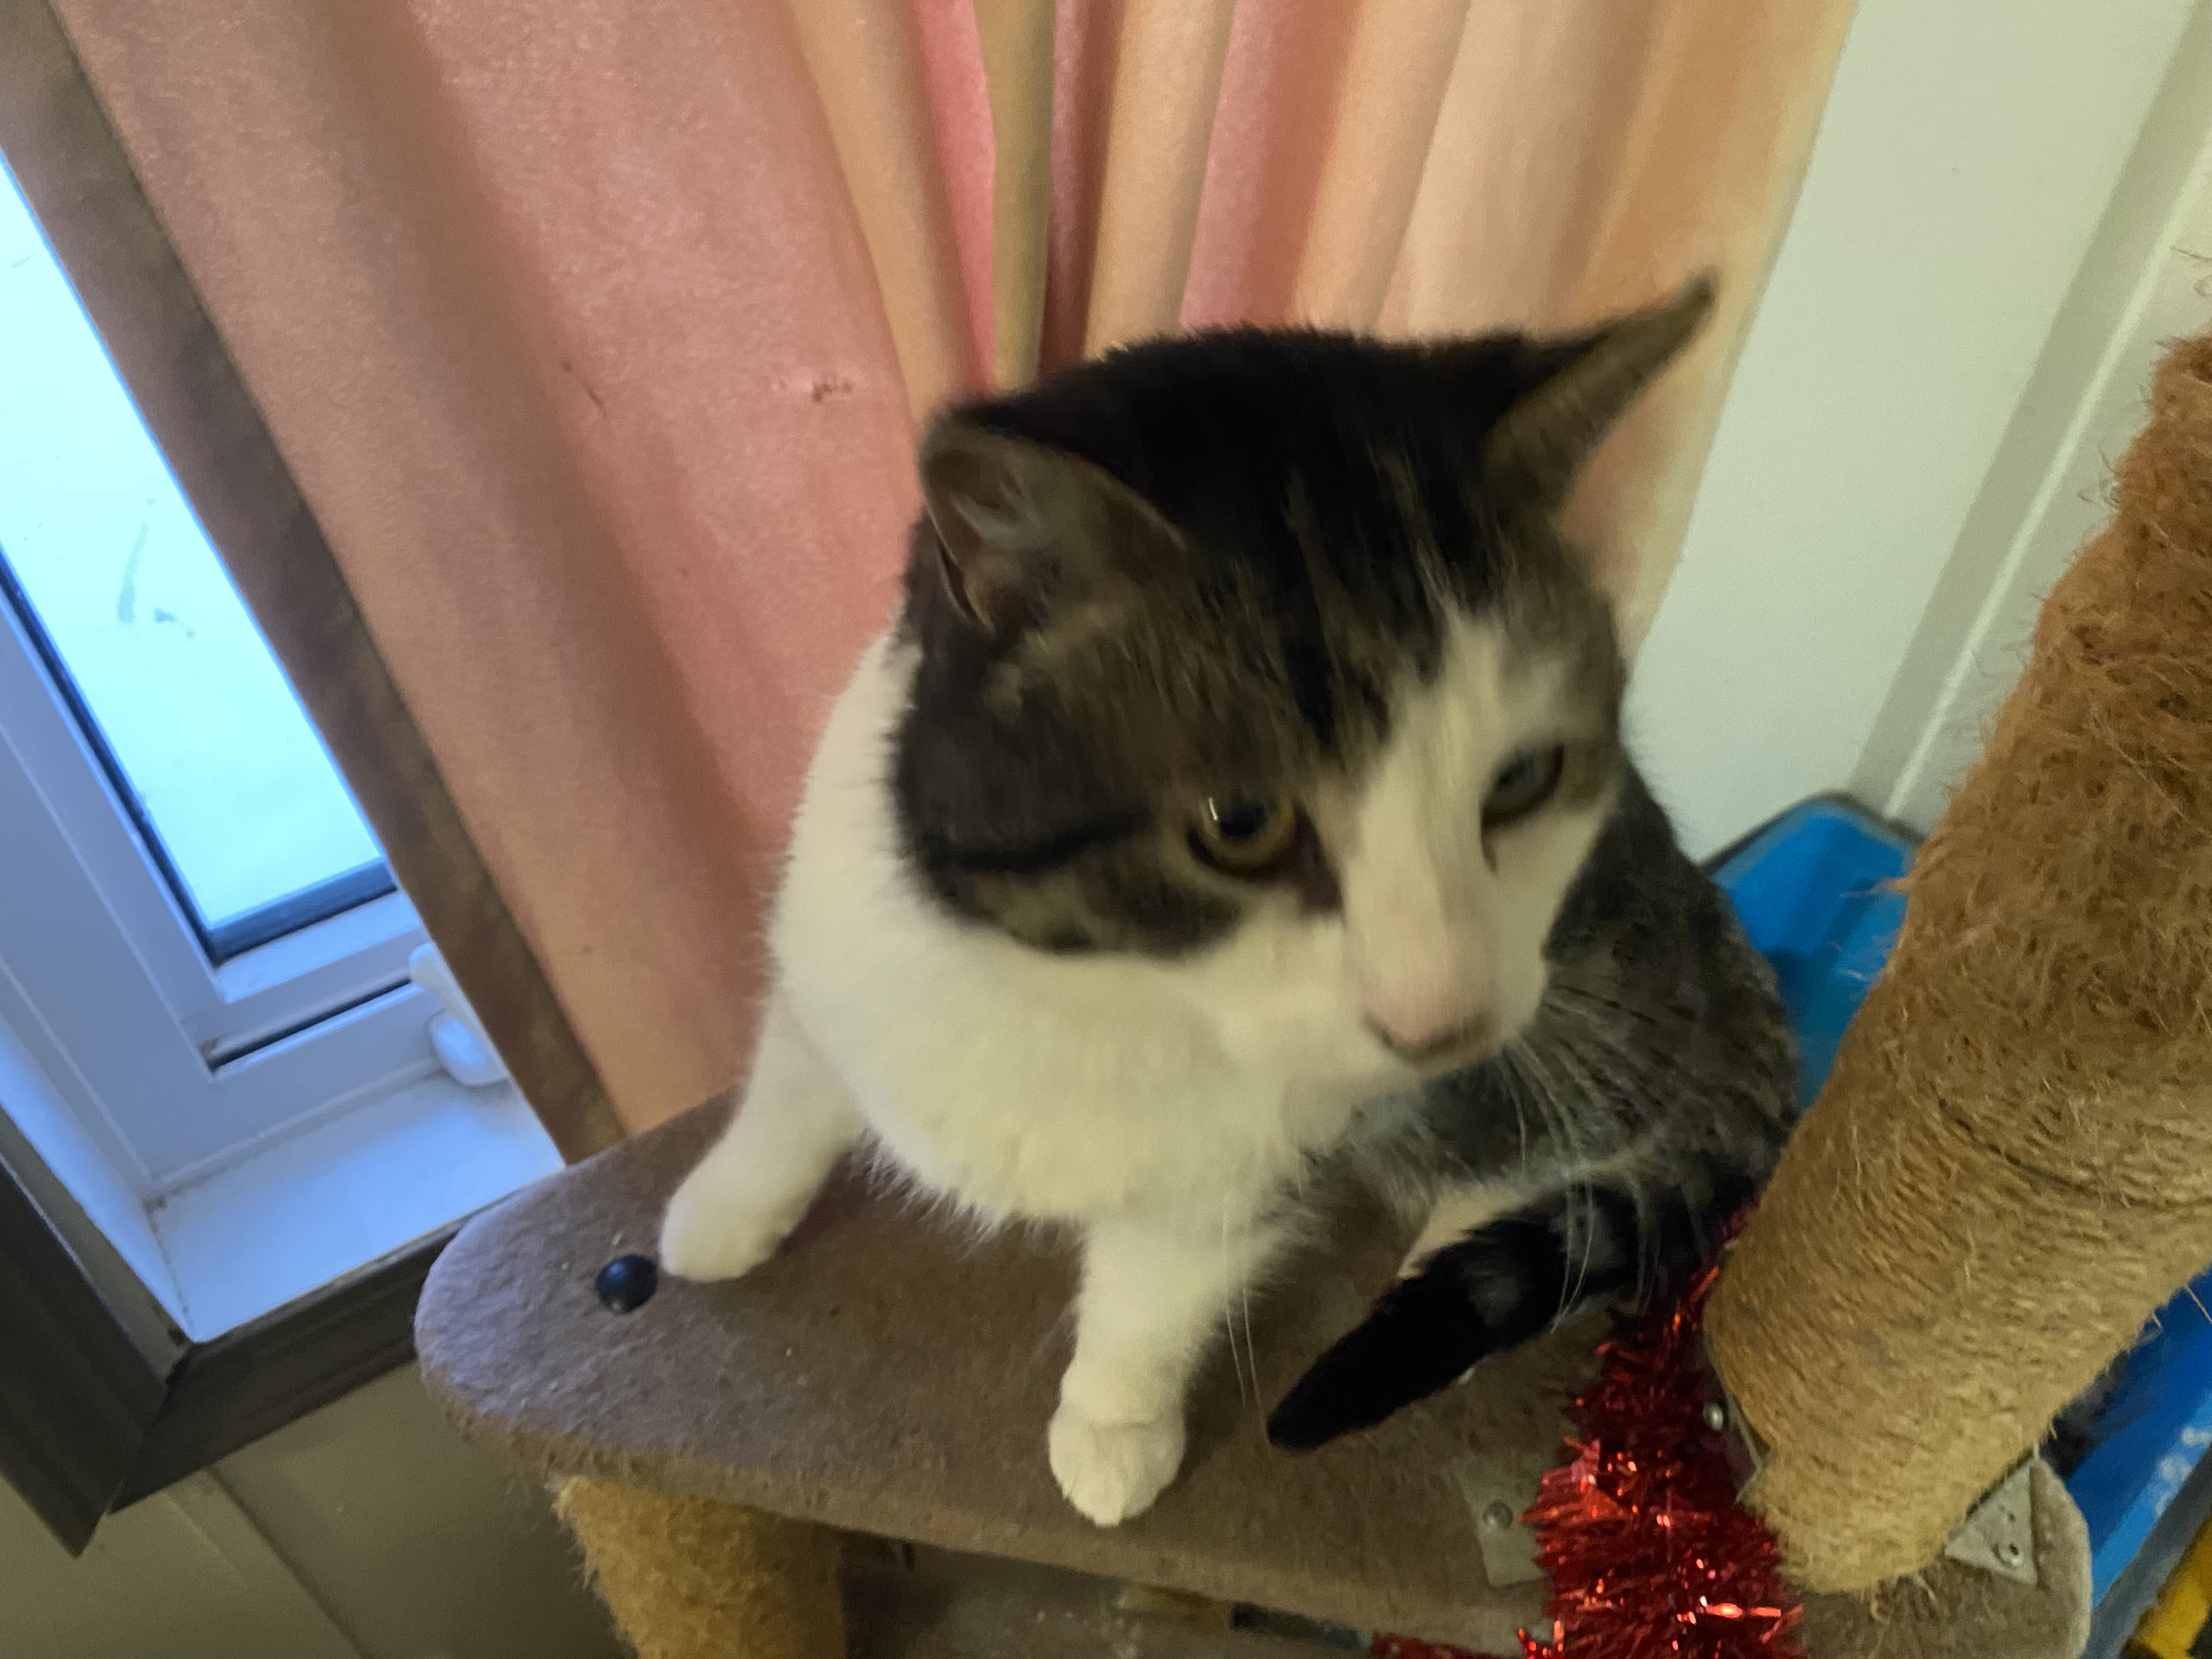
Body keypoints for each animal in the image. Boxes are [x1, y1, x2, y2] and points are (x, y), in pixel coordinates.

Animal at [658, 272, 1795, 1526]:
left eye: (1520, 780)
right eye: (1239, 825)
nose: (1438, 1021)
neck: (1092, 978)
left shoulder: (1253, 1160)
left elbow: (1159, 1287)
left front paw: (1113, 1426)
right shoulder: (828, 940)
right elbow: (791, 1084)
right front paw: (720, 1210)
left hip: (1584, 1000)